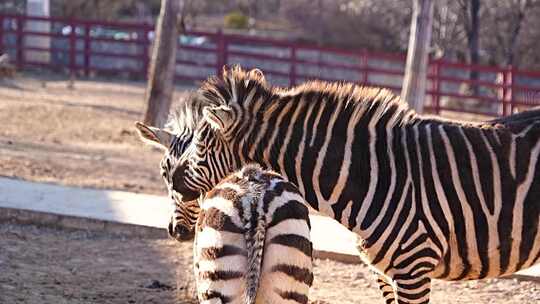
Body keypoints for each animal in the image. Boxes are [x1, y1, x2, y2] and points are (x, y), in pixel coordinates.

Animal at [136, 67, 540, 304]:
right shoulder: (385, 271)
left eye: (200, 149)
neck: (376, 173)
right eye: (167, 170)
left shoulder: (414, 266)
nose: (174, 230)